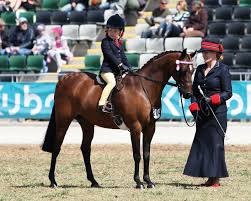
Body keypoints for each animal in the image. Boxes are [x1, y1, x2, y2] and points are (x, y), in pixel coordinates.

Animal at [42, 48, 196, 188]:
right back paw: (53, 181)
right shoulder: (135, 127)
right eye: (183, 70)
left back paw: (94, 181)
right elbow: (137, 154)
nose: (188, 94)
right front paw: (138, 182)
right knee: (57, 147)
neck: (144, 88)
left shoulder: (150, 127)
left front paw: (148, 181)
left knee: (85, 149)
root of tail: (63, 79)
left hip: (87, 124)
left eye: (193, 70)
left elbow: (146, 153)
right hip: (63, 121)